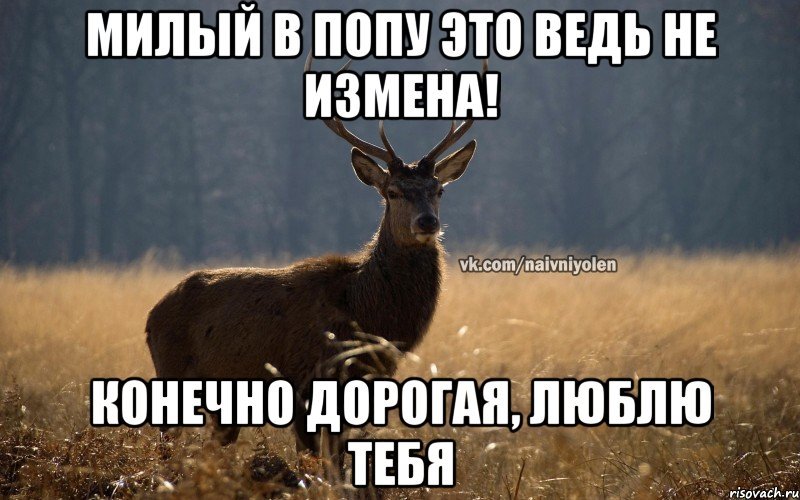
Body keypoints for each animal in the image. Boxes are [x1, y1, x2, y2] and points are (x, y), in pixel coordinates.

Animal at [145, 55, 485, 462]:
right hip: (171, 375)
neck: (365, 313)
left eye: (439, 190)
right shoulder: (303, 381)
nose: (427, 222)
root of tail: (151, 317)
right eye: (392, 191)